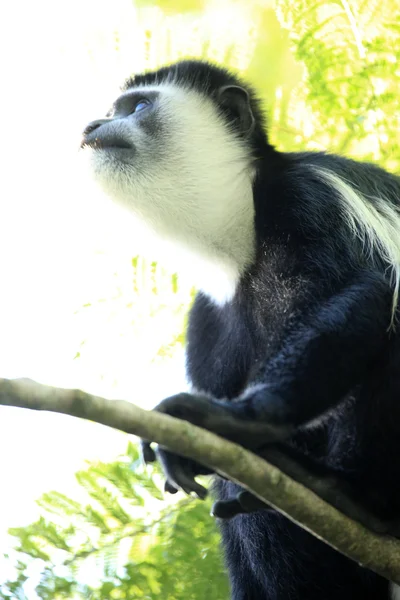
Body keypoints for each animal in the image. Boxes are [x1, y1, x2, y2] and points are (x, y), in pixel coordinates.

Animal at [80, 62, 400, 600]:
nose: (91, 127)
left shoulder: (310, 195)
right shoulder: (206, 322)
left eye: (136, 107)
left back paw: (348, 493)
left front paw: (235, 421)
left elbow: (365, 293)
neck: (238, 238)